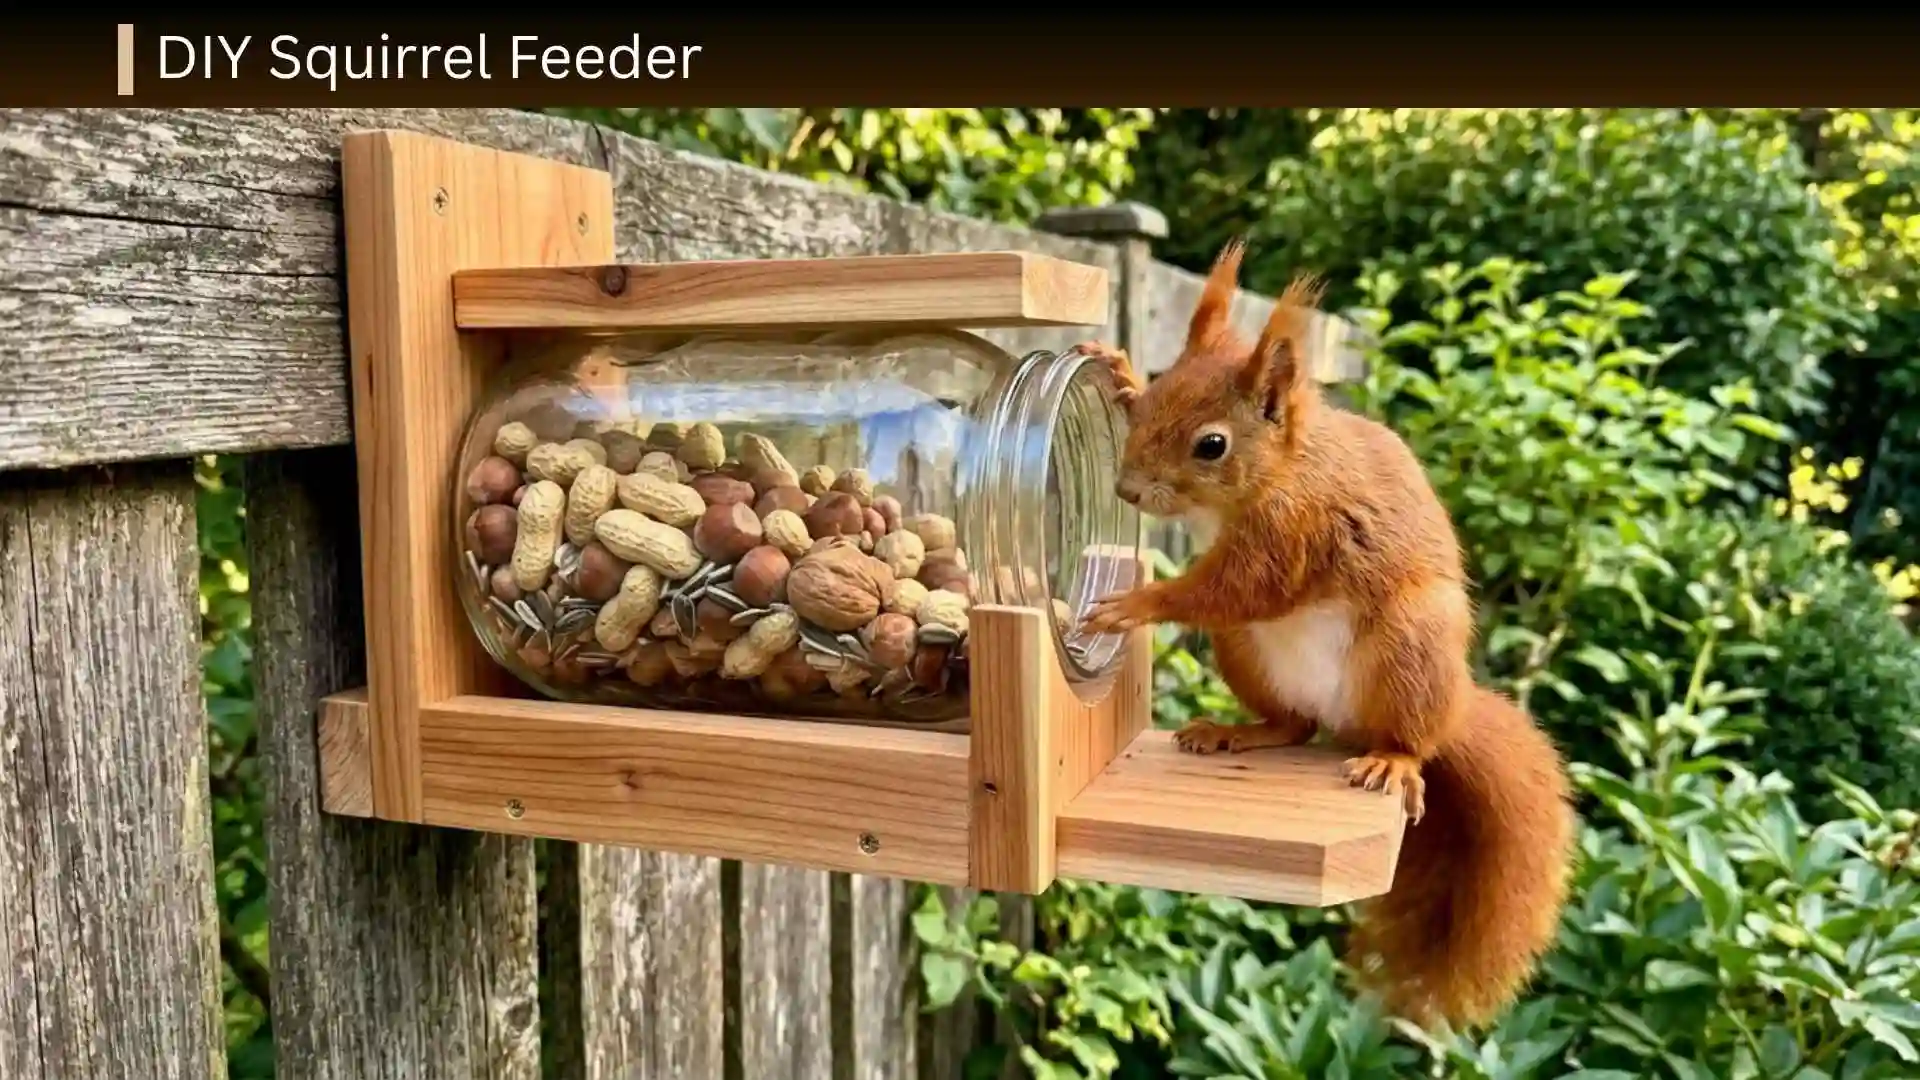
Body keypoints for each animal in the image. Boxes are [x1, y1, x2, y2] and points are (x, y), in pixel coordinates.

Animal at [1074, 239, 1577, 1031]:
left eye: (1211, 445)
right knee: (1296, 724)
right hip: (1247, 653)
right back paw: (1239, 732)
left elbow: (1235, 589)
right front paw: (1118, 371)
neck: (1280, 470)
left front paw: (1137, 602)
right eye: (1148, 406)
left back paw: (1395, 762)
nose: (1126, 491)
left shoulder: (1295, 531)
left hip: (1408, 646)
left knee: (1410, 737)